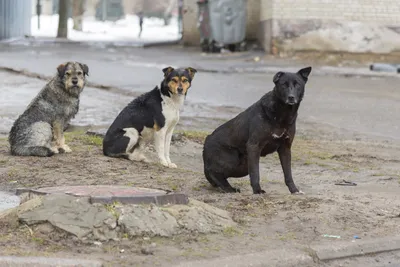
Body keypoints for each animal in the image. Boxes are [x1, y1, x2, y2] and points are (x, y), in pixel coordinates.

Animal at [203, 67, 312, 195]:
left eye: (297, 84)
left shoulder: (285, 148)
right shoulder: (254, 146)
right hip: (233, 159)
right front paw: (257, 190)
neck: (282, 114)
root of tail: (206, 143)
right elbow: (255, 173)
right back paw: (229, 188)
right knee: (214, 172)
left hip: (243, 166)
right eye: (284, 85)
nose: (291, 97)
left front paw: (294, 190)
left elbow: (288, 174)